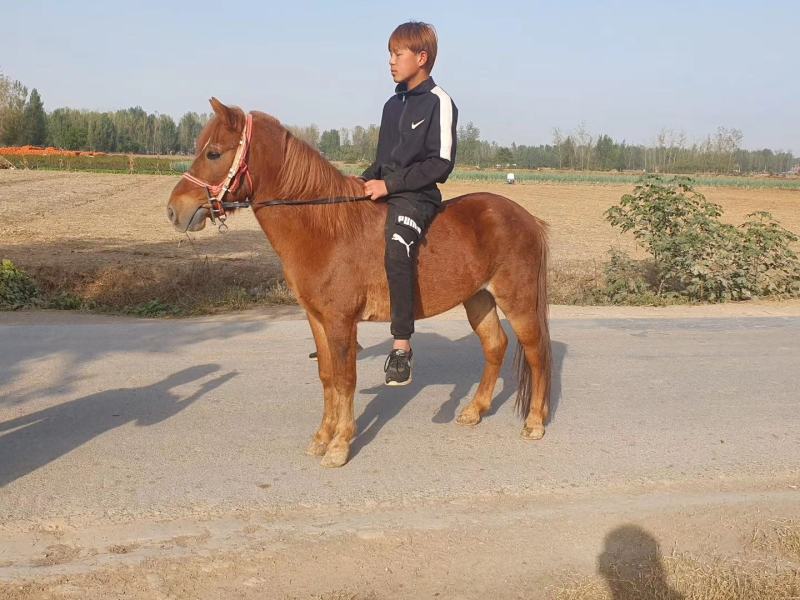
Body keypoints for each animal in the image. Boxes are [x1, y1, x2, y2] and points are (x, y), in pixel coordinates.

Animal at [167, 98, 551, 468]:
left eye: (213, 153)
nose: (174, 210)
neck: (325, 228)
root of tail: (527, 218)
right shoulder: (317, 319)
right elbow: (327, 375)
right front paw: (322, 437)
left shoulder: (341, 321)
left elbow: (344, 378)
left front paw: (339, 445)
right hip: (478, 298)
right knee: (495, 345)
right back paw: (475, 410)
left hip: (517, 301)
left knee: (535, 351)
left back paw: (534, 421)